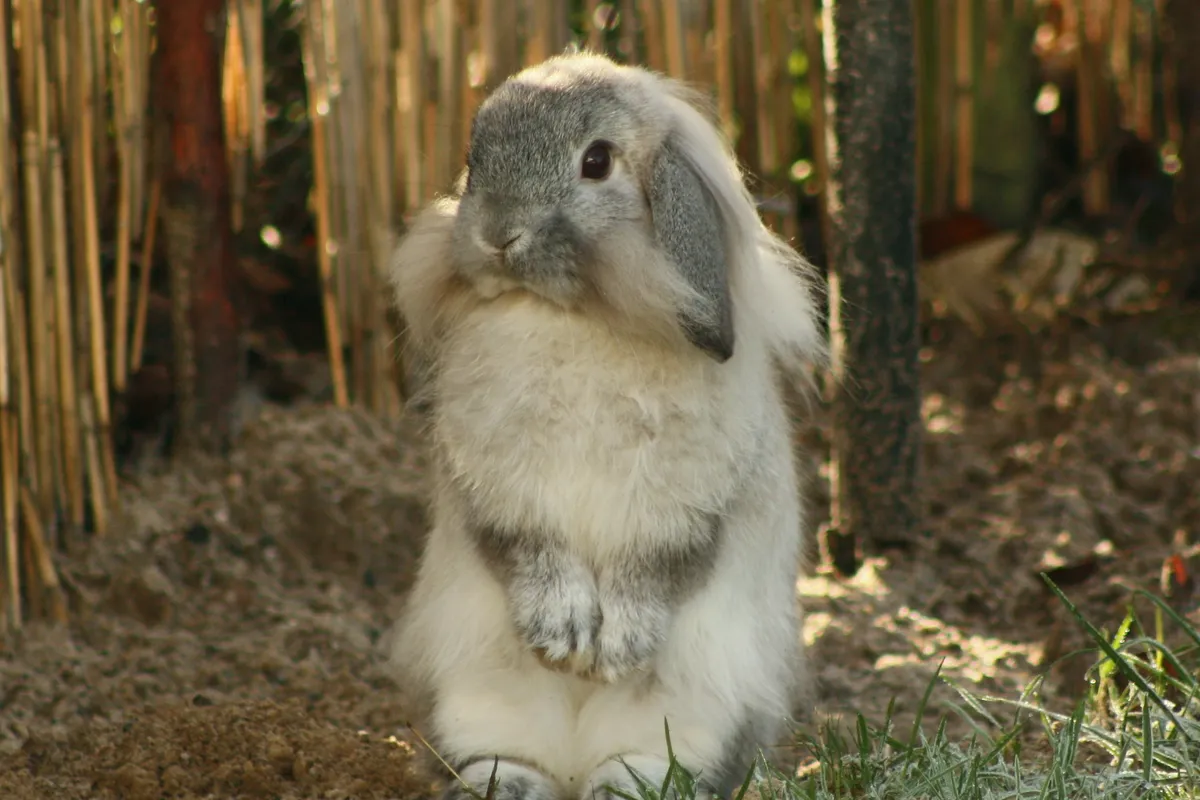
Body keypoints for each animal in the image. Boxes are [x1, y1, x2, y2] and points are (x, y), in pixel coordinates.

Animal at [386, 50, 826, 800]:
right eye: (473, 162)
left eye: (596, 162)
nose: (497, 236)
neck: (579, 315)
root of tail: (572, 761)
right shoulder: (499, 489)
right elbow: (530, 552)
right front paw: (562, 636)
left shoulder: (686, 506)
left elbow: (653, 572)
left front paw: (615, 648)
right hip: (472, 694)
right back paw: (506, 785)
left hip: (696, 709)